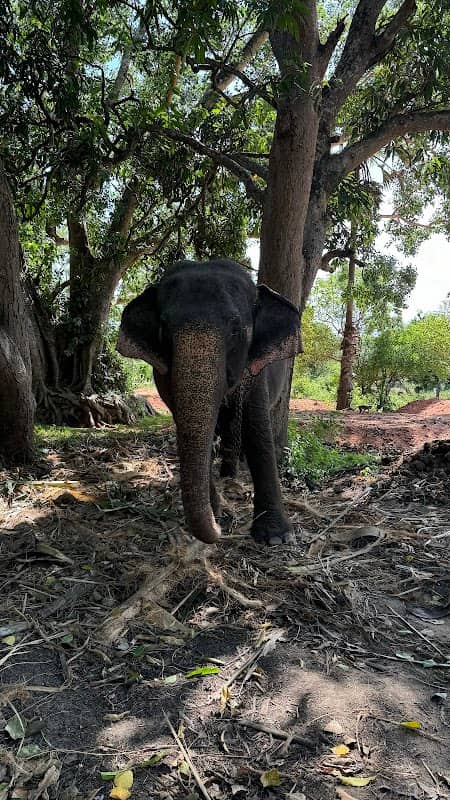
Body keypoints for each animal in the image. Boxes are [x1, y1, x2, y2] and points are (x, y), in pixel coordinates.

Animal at [116, 258, 301, 546]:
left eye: (236, 330)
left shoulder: (255, 372)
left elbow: (257, 430)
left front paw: (276, 538)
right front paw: (217, 513)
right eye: (163, 330)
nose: (219, 530)